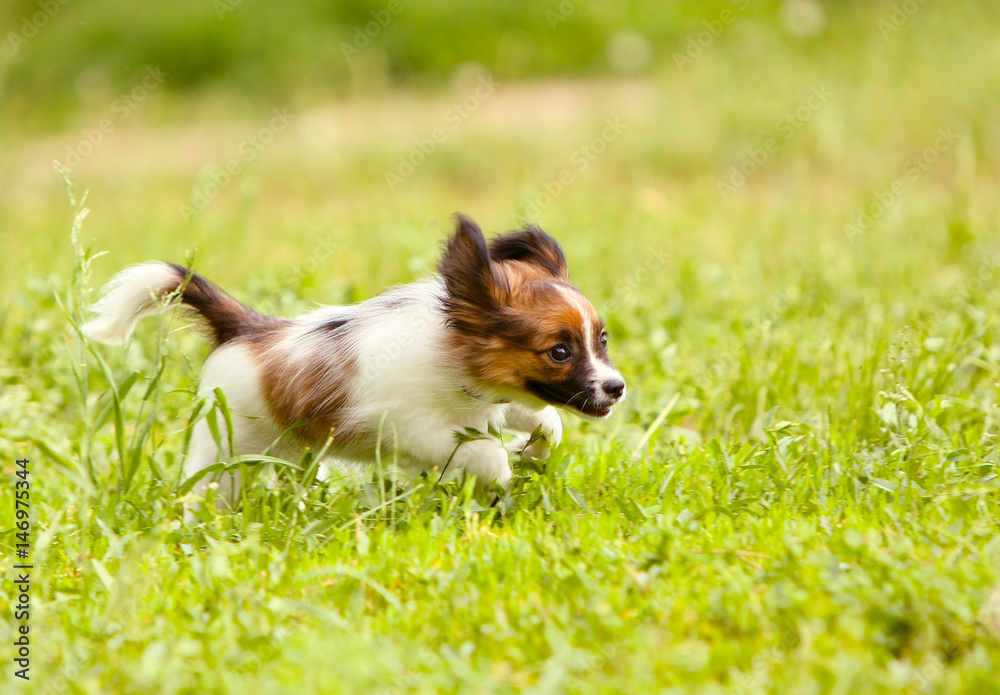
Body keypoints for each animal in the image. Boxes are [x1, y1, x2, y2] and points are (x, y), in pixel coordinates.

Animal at [82, 215, 624, 512]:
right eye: (559, 352)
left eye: (601, 339)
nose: (616, 388)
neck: (456, 364)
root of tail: (249, 329)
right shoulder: (410, 428)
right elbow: (484, 453)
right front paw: (504, 469)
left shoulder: (499, 400)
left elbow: (547, 422)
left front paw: (529, 450)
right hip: (226, 451)